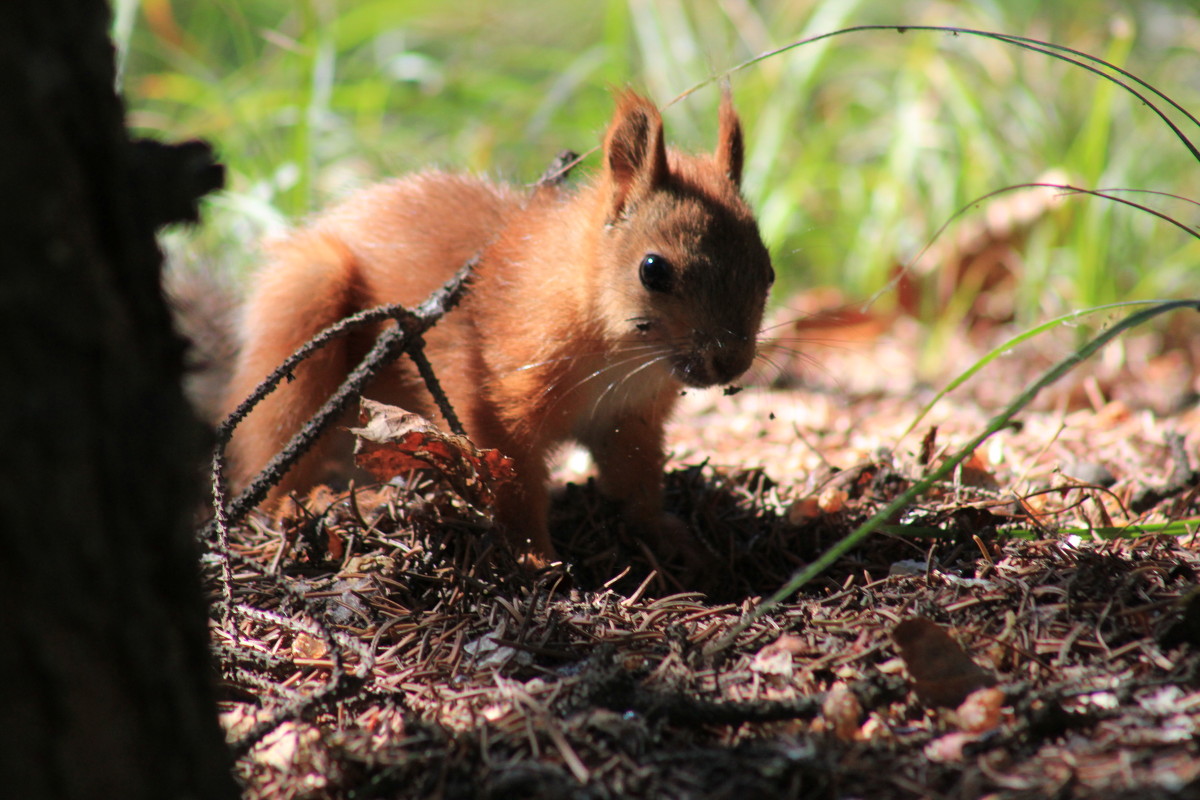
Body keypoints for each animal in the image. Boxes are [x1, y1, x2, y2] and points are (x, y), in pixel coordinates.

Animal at [222, 90, 772, 561]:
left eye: (767, 270)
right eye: (653, 270)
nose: (729, 362)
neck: (620, 359)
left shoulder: (629, 418)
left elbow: (635, 482)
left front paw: (666, 536)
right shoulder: (495, 396)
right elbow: (512, 483)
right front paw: (534, 557)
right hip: (306, 313)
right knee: (275, 446)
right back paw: (302, 507)